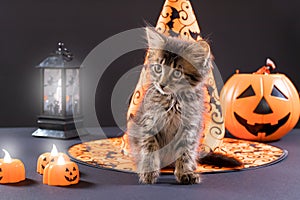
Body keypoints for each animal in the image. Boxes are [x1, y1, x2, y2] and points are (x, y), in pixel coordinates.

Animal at [126, 27, 241, 184]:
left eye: (177, 73)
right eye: (158, 68)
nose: (162, 84)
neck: (174, 101)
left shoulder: (189, 128)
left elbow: (184, 153)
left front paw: (185, 172)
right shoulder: (149, 123)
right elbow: (150, 149)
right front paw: (149, 172)